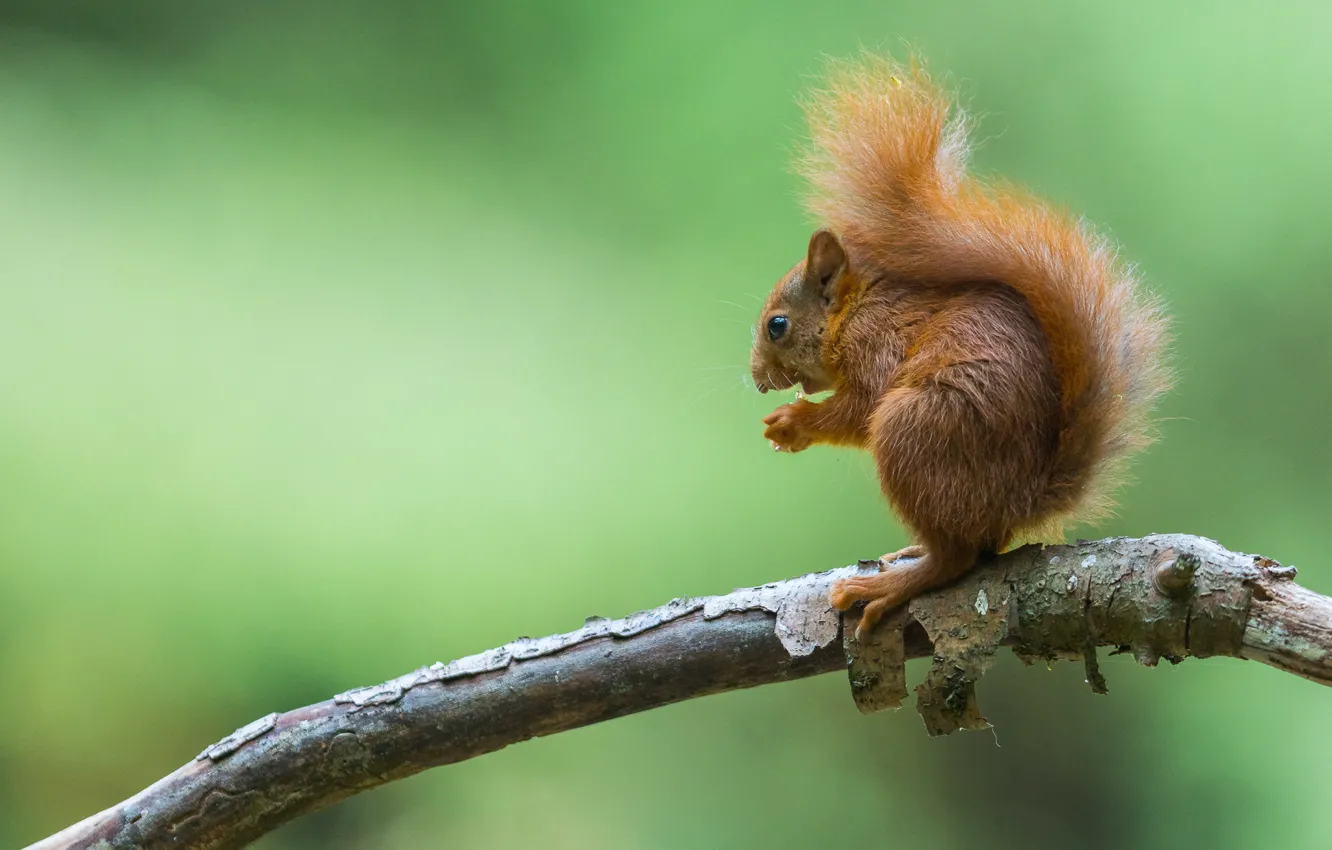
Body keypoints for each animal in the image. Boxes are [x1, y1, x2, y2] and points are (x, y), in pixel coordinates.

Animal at [750, 54, 1171, 636]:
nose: (755, 377)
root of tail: (1022, 501)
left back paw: (890, 584)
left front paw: (793, 423)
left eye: (777, 325)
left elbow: (858, 411)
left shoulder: (877, 345)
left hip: (916, 427)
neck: (854, 312)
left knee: (957, 557)